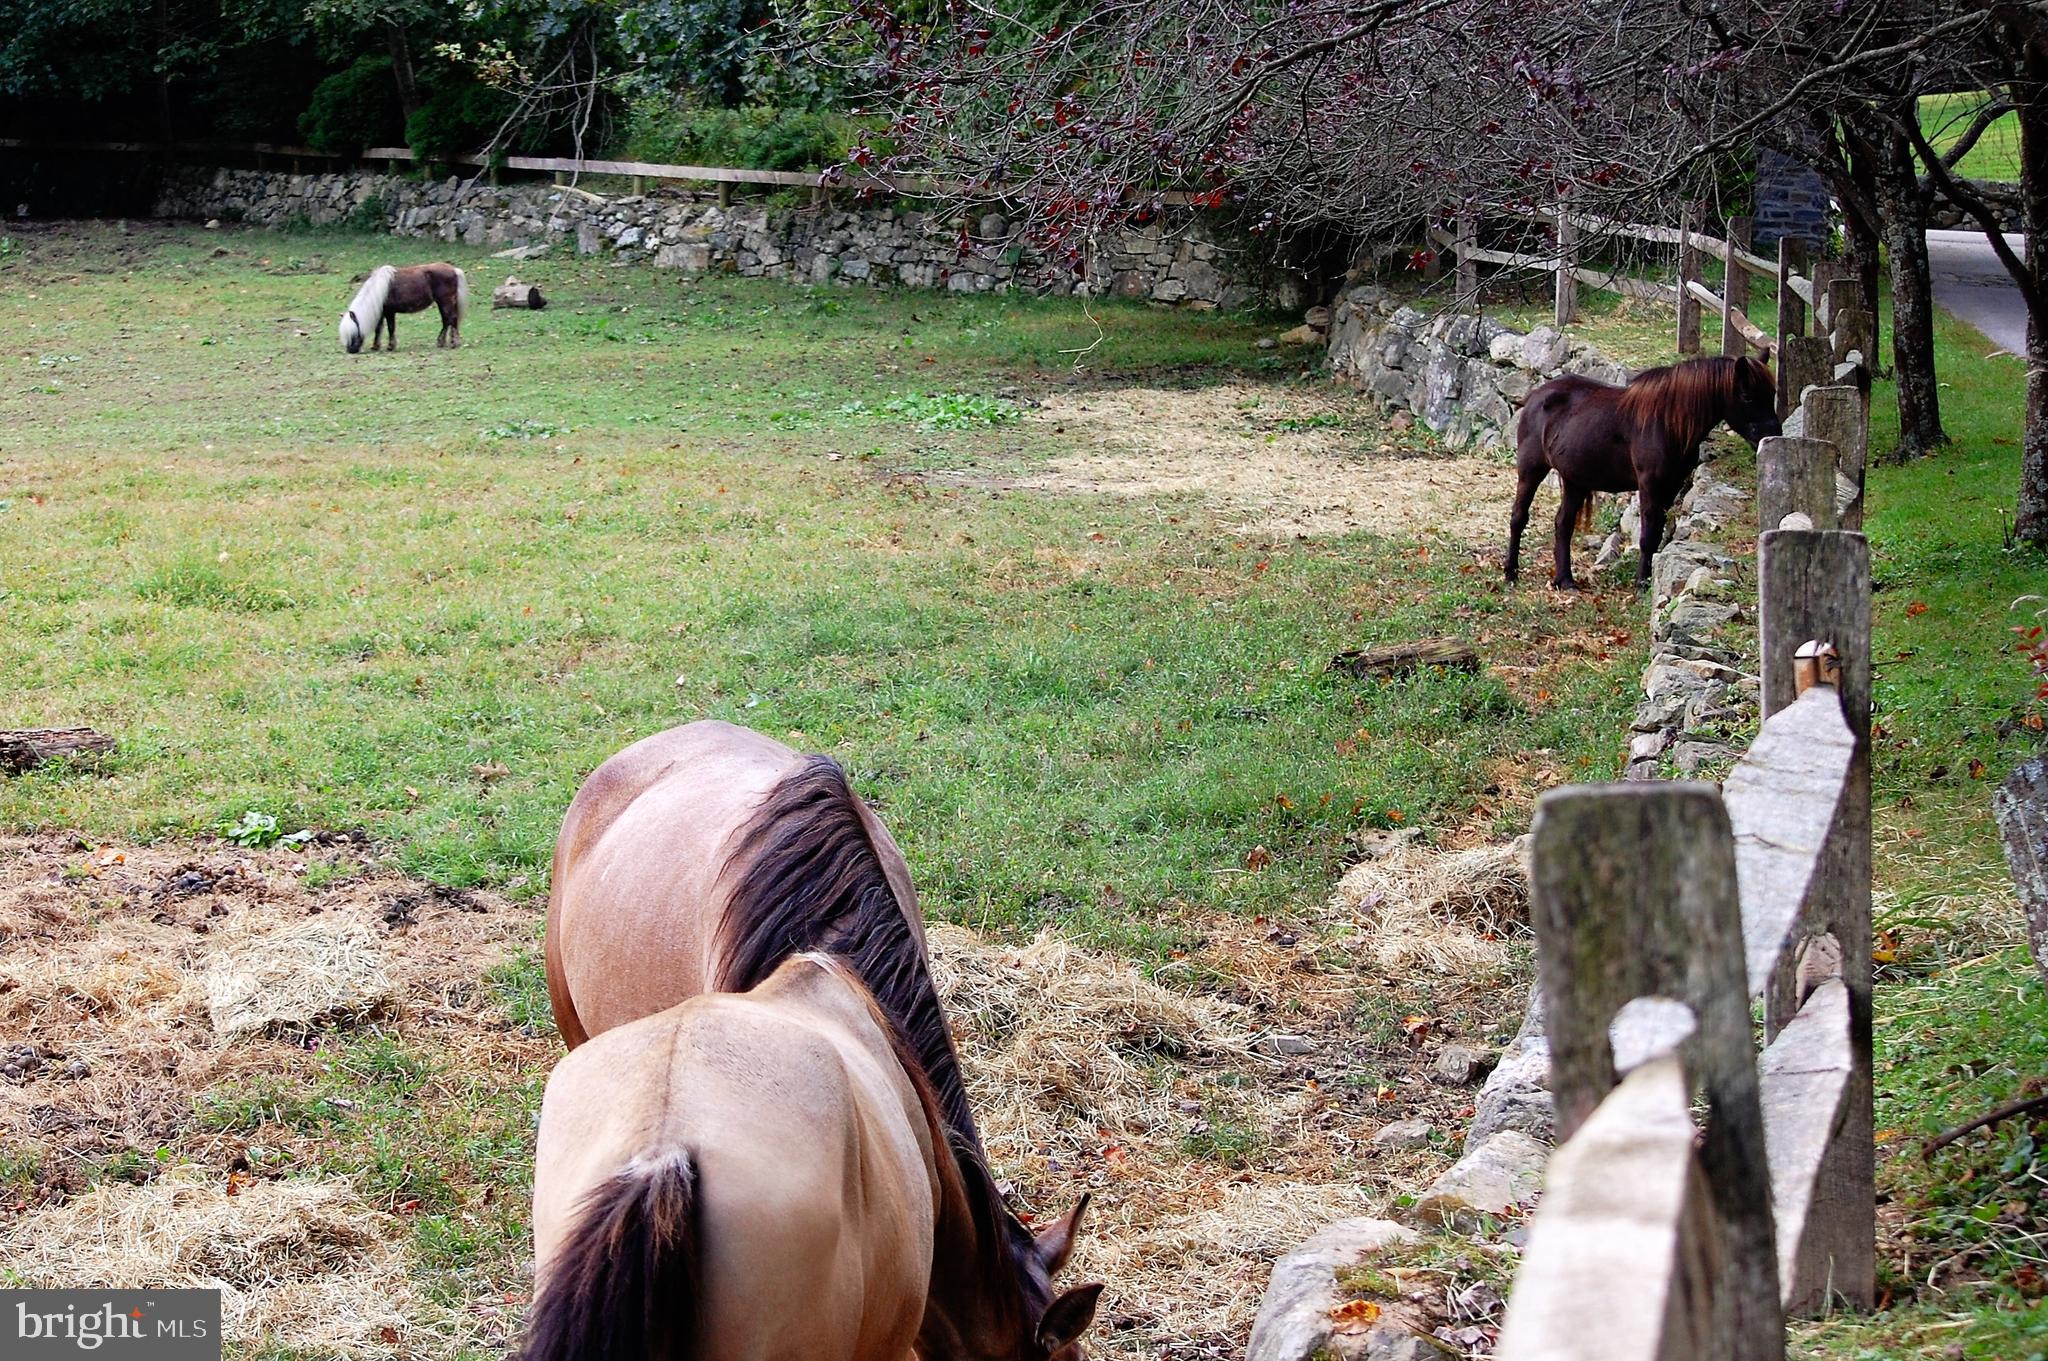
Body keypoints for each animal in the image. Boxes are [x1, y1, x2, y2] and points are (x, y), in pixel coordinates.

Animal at [338, 263, 468, 353]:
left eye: (353, 334)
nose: (351, 351)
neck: (379, 289)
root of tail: (454, 270)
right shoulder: (381, 312)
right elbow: (378, 329)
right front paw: (375, 346)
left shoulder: (389, 312)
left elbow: (391, 328)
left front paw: (390, 346)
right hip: (442, 303)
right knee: (446, 321)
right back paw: (442, 342)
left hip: (446, 302)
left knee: (452, 319)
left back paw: (454, 343)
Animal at [1505, 354, 1781, 591]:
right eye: (1747, 396)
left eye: (1772, 393)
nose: (1772, 434)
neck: (1667, 422)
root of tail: (1535, 396)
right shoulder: (1650, 485)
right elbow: (1648, 535)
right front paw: (1641, 583)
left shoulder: (1671, 486)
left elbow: (1657, 532)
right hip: (1531, 470)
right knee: (1519, 517)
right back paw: (1511, 573)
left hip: (1575, 480)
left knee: (1563, 524)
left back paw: (1565, 580)